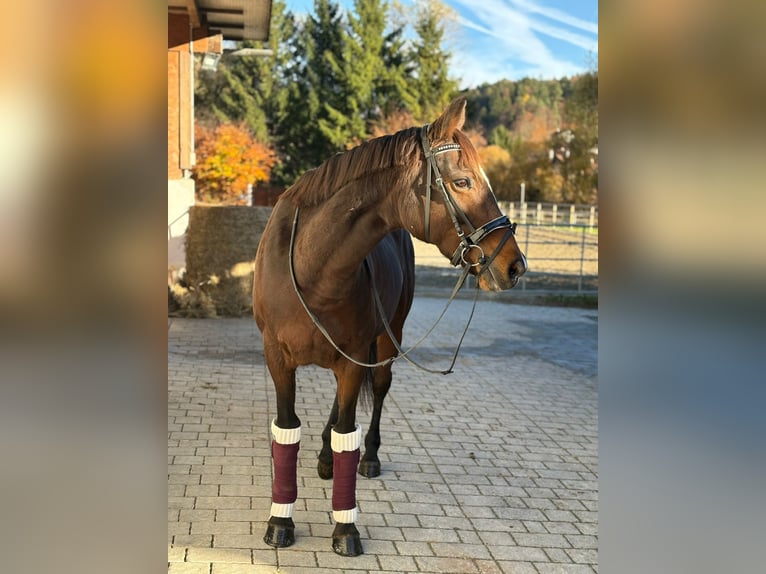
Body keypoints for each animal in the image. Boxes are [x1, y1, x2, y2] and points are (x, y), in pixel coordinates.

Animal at [252, 96, 527, 557]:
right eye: (463, 181)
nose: (515, 265)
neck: (313, 268)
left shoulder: (352, 358)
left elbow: (348, 431)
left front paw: (345, 528)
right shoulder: (278, 359)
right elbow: (286, 431)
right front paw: (280, 520)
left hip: (386, 340)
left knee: (377, 390)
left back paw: (368, 457)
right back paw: (323, 458)